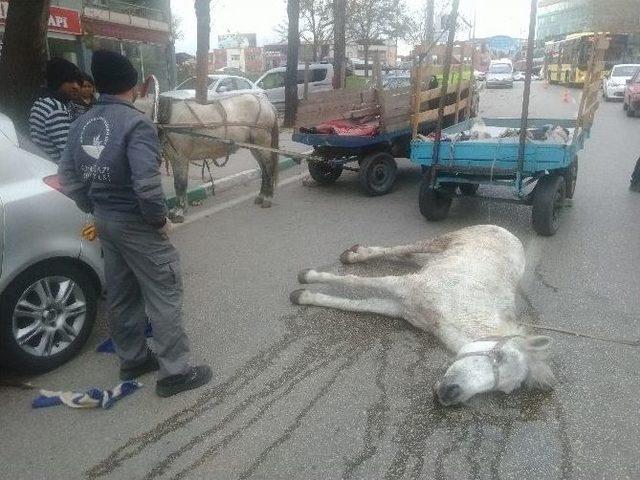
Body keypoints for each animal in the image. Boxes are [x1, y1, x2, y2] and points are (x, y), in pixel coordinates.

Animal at [136, 77, 278, 221]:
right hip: (255, 147)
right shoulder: (175, 158)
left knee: (268, 168)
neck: (164, 117)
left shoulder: (180, 158)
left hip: (263, 143)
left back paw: (267, 198)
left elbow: (180, 184)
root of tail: (267, 104)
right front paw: (180, 209)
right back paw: (261, 196)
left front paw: (179, 211)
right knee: (263, 169)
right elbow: (179, 184)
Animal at [290, 225, 556, 404]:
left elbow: (357, 304)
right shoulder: (405, 286)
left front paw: (304, 296)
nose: (450, 394)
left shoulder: (399, 307)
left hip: (436, 256)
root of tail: (510, 235)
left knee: (407, 255)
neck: (454, 309)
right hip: (442, 241)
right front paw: (307, 278)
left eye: (503, 390)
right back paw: (352, 255)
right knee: (401, 248)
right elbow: (354, 281)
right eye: (499, 356)